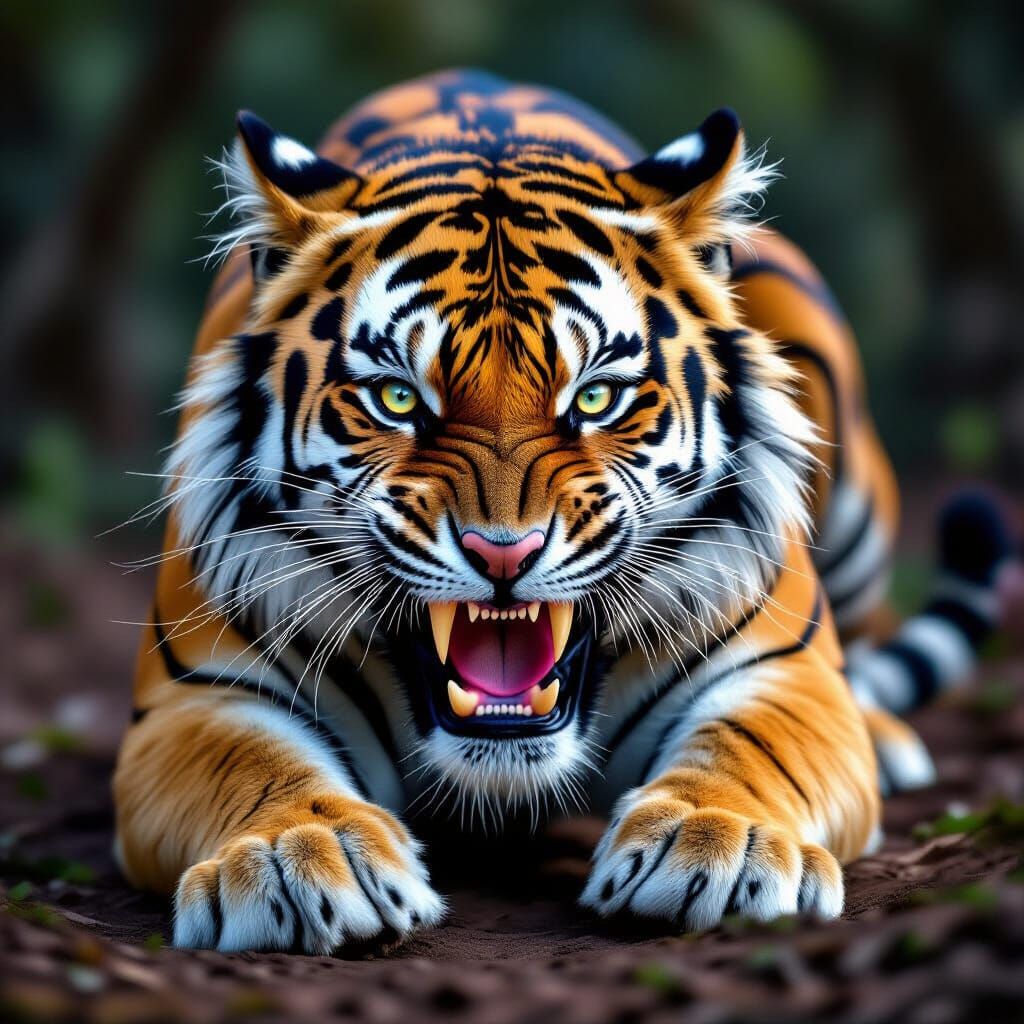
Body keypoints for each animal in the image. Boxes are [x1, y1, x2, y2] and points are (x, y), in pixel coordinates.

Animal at [113, 69, 1012, 953]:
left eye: (597, 396)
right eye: (398, 398)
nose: (502, 553)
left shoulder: (780, 671)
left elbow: (752, 748)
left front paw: (718, 842)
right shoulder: (199, 696)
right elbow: (248, 766)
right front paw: (295, 855)